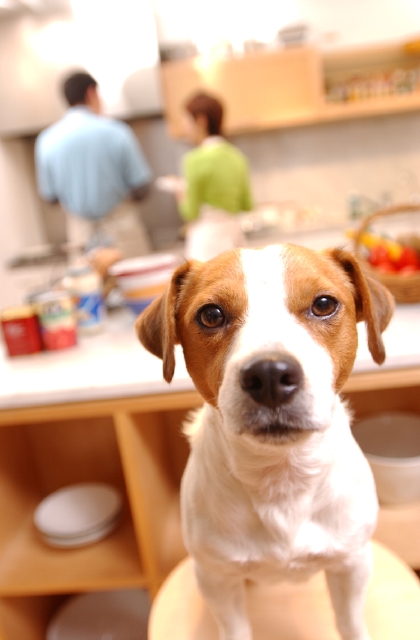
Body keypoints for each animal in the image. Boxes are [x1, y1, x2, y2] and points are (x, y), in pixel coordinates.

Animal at [137, 244, 394, 640]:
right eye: (211, 315)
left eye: (323, 304)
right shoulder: (216, 579)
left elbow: (350, 623)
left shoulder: (351, 564)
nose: (271, 374)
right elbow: (235, 629)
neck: (281, 476)